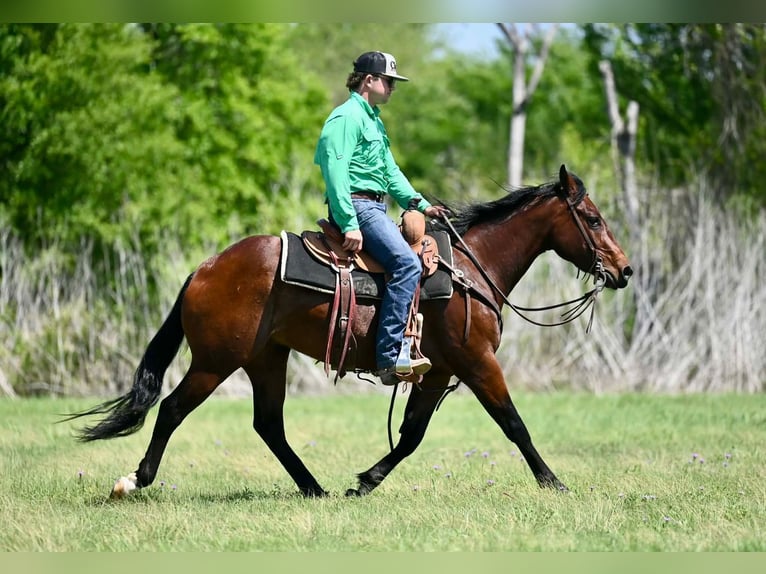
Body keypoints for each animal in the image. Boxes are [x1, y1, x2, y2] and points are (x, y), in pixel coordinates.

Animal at [65, 164, 632, 499]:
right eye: (592, 218)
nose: (624, 270)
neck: (471, 269)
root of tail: (204, 269)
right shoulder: (476, 362)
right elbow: (514, 424)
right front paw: (554, 483)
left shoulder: (437, 372)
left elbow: (411, 435)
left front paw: (365, 482)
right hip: (214, 362)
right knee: (172, 410)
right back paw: (133, 480)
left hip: (266, 359)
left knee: (268, 425)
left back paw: (314, 488)